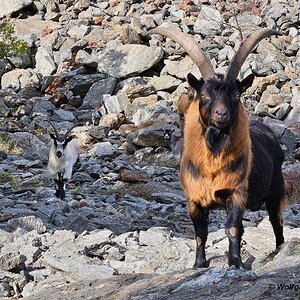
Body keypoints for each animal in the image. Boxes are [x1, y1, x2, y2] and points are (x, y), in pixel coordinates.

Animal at [150, 27, 286, 268]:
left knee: (276, 222)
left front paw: (236, 264)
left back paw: (279, 250)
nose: (221, 114)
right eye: (204, 95)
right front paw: (199, 264)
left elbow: (232, 229)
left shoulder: (236, 193)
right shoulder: (194, 199)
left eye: (236, 94)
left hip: (276, 191)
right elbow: (200, 234)